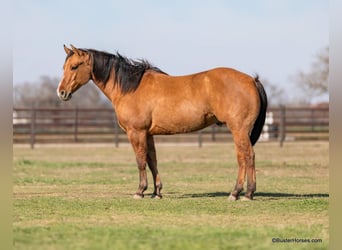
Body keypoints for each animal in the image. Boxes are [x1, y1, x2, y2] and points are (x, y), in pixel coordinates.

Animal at [56, 45, 268, 201]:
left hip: (239, 129)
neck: (131, 87)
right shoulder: (148, 134)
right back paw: (239, 192)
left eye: (74, 67)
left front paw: (140, 191)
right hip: (238, 131)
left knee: (248, 156)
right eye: (64, 67)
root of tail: (252, 80)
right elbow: (152, 161)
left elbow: (140, 161)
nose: (61, 93)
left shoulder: (136, 132)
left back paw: (244, 193)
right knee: (242, 157)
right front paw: (156, 192)